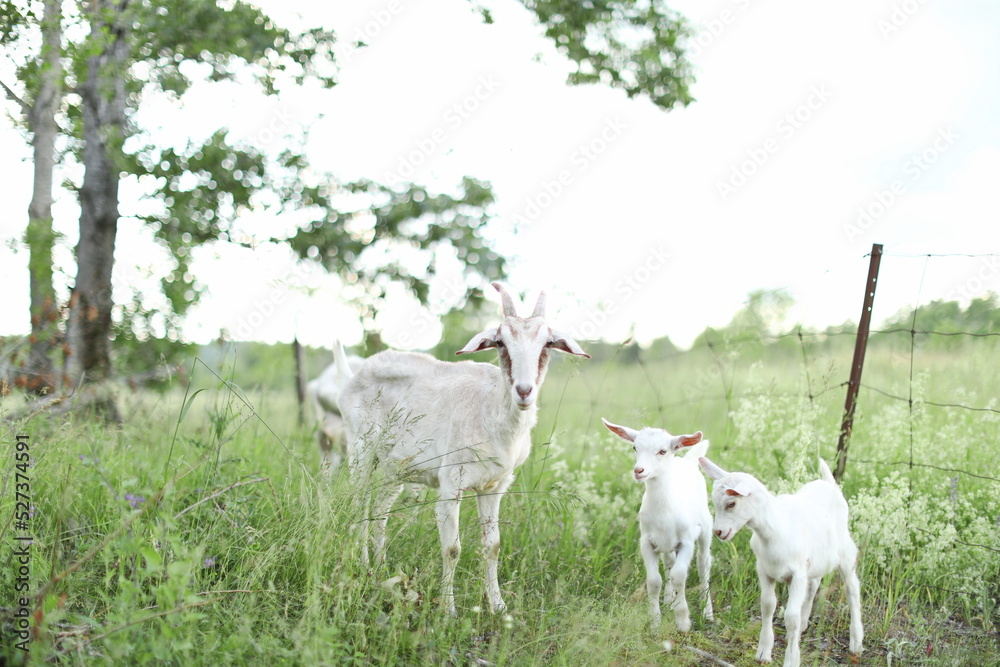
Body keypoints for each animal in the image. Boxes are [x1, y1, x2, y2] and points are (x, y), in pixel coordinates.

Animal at [336, 282, 589, 614]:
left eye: (547, 343)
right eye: (500, 342)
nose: (524, 390)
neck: (489, 408)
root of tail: (351, 376)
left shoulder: (495, 486)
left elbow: (493, 546)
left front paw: (498, 606)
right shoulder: (450, 483)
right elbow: (452, 548)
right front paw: (448, 610)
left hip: (395, 468)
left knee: (379, 510)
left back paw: (379, 569)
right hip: (361, 452)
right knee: (358, 506)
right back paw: (363, 567)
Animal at [602, 419, 714, 632]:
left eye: (662, 451)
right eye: (634, 447)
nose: (639, 471)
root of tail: (687, 461)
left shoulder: (687, 541)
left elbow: (679, 576)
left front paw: (683, 621)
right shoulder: (647, 542)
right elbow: (654, 581)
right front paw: (654, 622)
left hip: (706, 529)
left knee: (703, 564)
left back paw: (708, 612)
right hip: (666, 543)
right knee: (669, 562)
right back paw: (669, 600)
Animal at [698, 457, 863, 667]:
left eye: (731, 503)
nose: (718, 532)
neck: (775, 529)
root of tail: (828, 482)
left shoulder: (797, 574)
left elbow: (791, 617)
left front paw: (791, 659)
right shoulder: (765, 569)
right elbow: (768, 605)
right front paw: (763, 652)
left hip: (845, 552)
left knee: (852, 589)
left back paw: (856, 641)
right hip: (816, 560)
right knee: (814, 584)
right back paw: (804, 623)